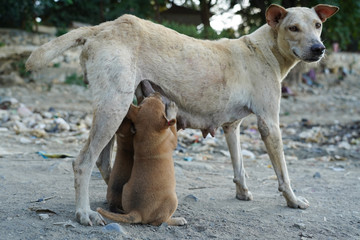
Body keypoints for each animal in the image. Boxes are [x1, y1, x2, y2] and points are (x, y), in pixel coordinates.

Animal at [97, 94, 187, 227]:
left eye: (144, 100)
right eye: (161, 103)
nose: (155, 93)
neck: (148, 132)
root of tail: (137, 211)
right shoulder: (173, 138)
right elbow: (172, 124)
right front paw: (172, 109)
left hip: (125, 189)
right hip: (173, 200)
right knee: (159, 221)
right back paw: (178, 220)